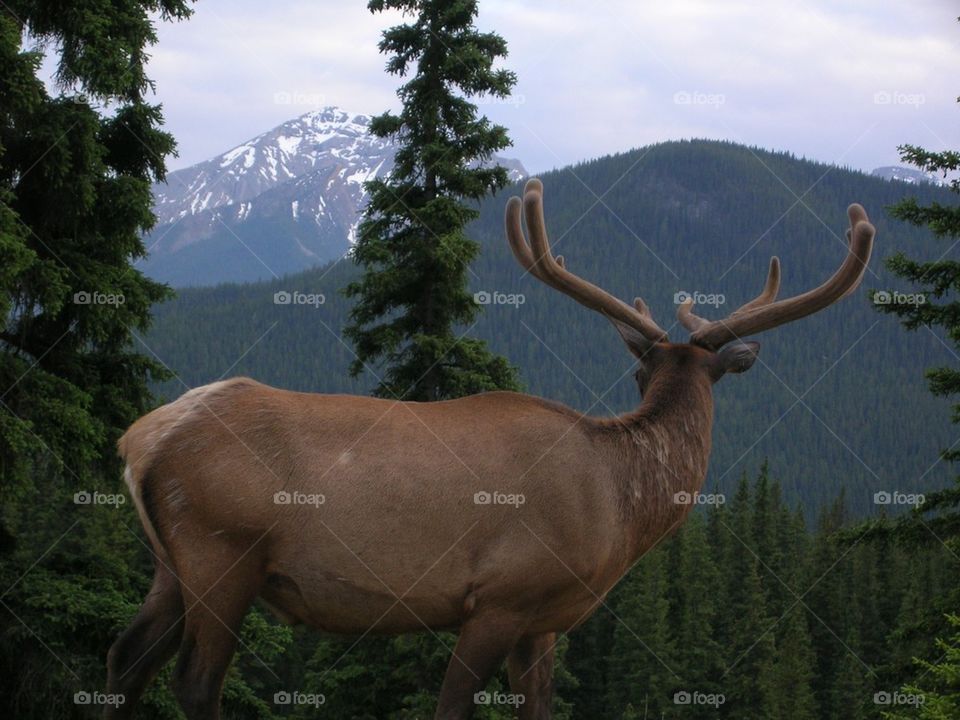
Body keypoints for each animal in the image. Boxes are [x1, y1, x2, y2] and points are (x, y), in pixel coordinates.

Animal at [105, 178, 874, 719]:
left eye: (640, 372)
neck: (617, 508)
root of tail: (140, 441)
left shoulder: (546, 624)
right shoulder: (500, 595)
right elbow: (449, 708)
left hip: (170, 565)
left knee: (123, 661)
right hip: (224, 551)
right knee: (194, 682)